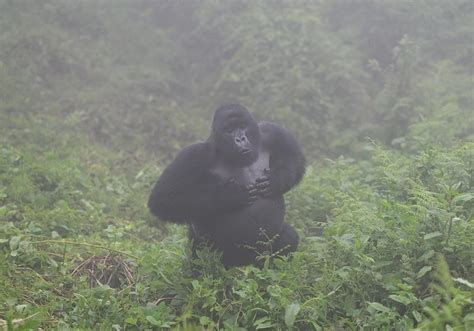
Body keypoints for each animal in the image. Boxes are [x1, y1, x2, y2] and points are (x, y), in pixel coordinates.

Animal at [148, 105, 306, 268]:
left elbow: (295, 158)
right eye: (229, 130)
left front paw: (276, 180)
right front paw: (231, 195)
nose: (240, 139)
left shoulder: (271, 132)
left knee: (288, 237)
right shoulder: (193, 154)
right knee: (202, 258)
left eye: (242, 126)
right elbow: (164, 199)